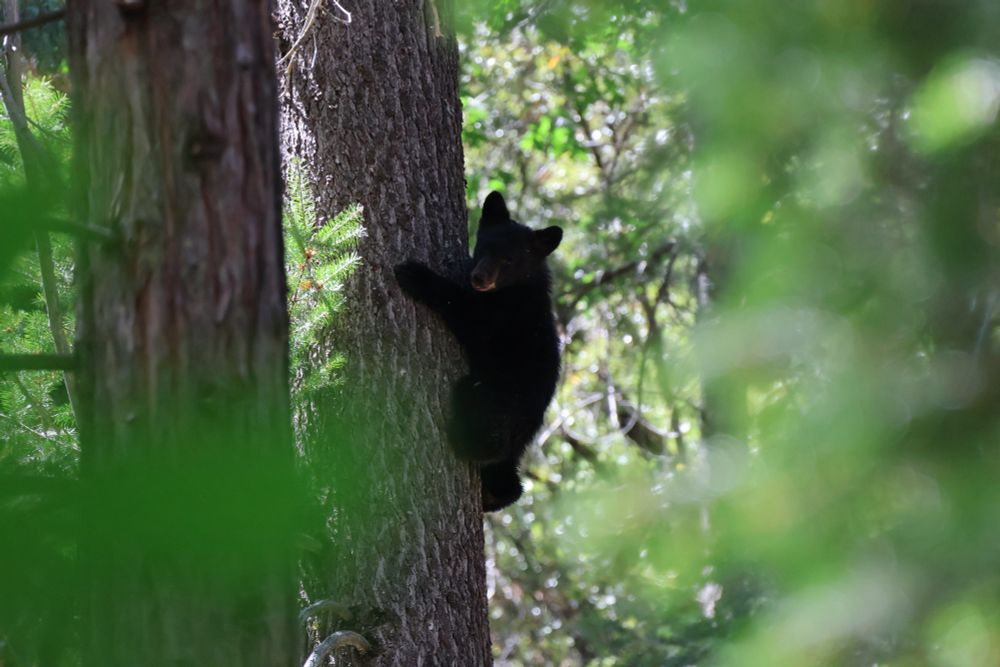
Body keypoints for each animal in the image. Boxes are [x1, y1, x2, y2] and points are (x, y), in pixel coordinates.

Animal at [394, 191, 563, 511]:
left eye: (509, 259)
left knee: (487, 437)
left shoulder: (508, 316)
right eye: (484, 246)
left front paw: (413, 273)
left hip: (496, 399)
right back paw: (494, 494)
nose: (479, 278)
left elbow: (469, 316)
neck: (519, 287)